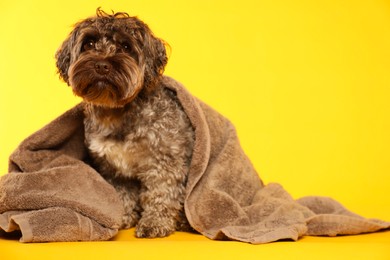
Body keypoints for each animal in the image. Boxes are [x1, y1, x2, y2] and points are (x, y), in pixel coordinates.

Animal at [54, 9, 195, 239]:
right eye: (89, 44)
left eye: (126, 47)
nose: (102, 65)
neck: (117, 114)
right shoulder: (113, 168)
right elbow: (122, 194)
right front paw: (122, 218)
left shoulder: (165, 161)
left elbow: (161, 193)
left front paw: (154, 222)